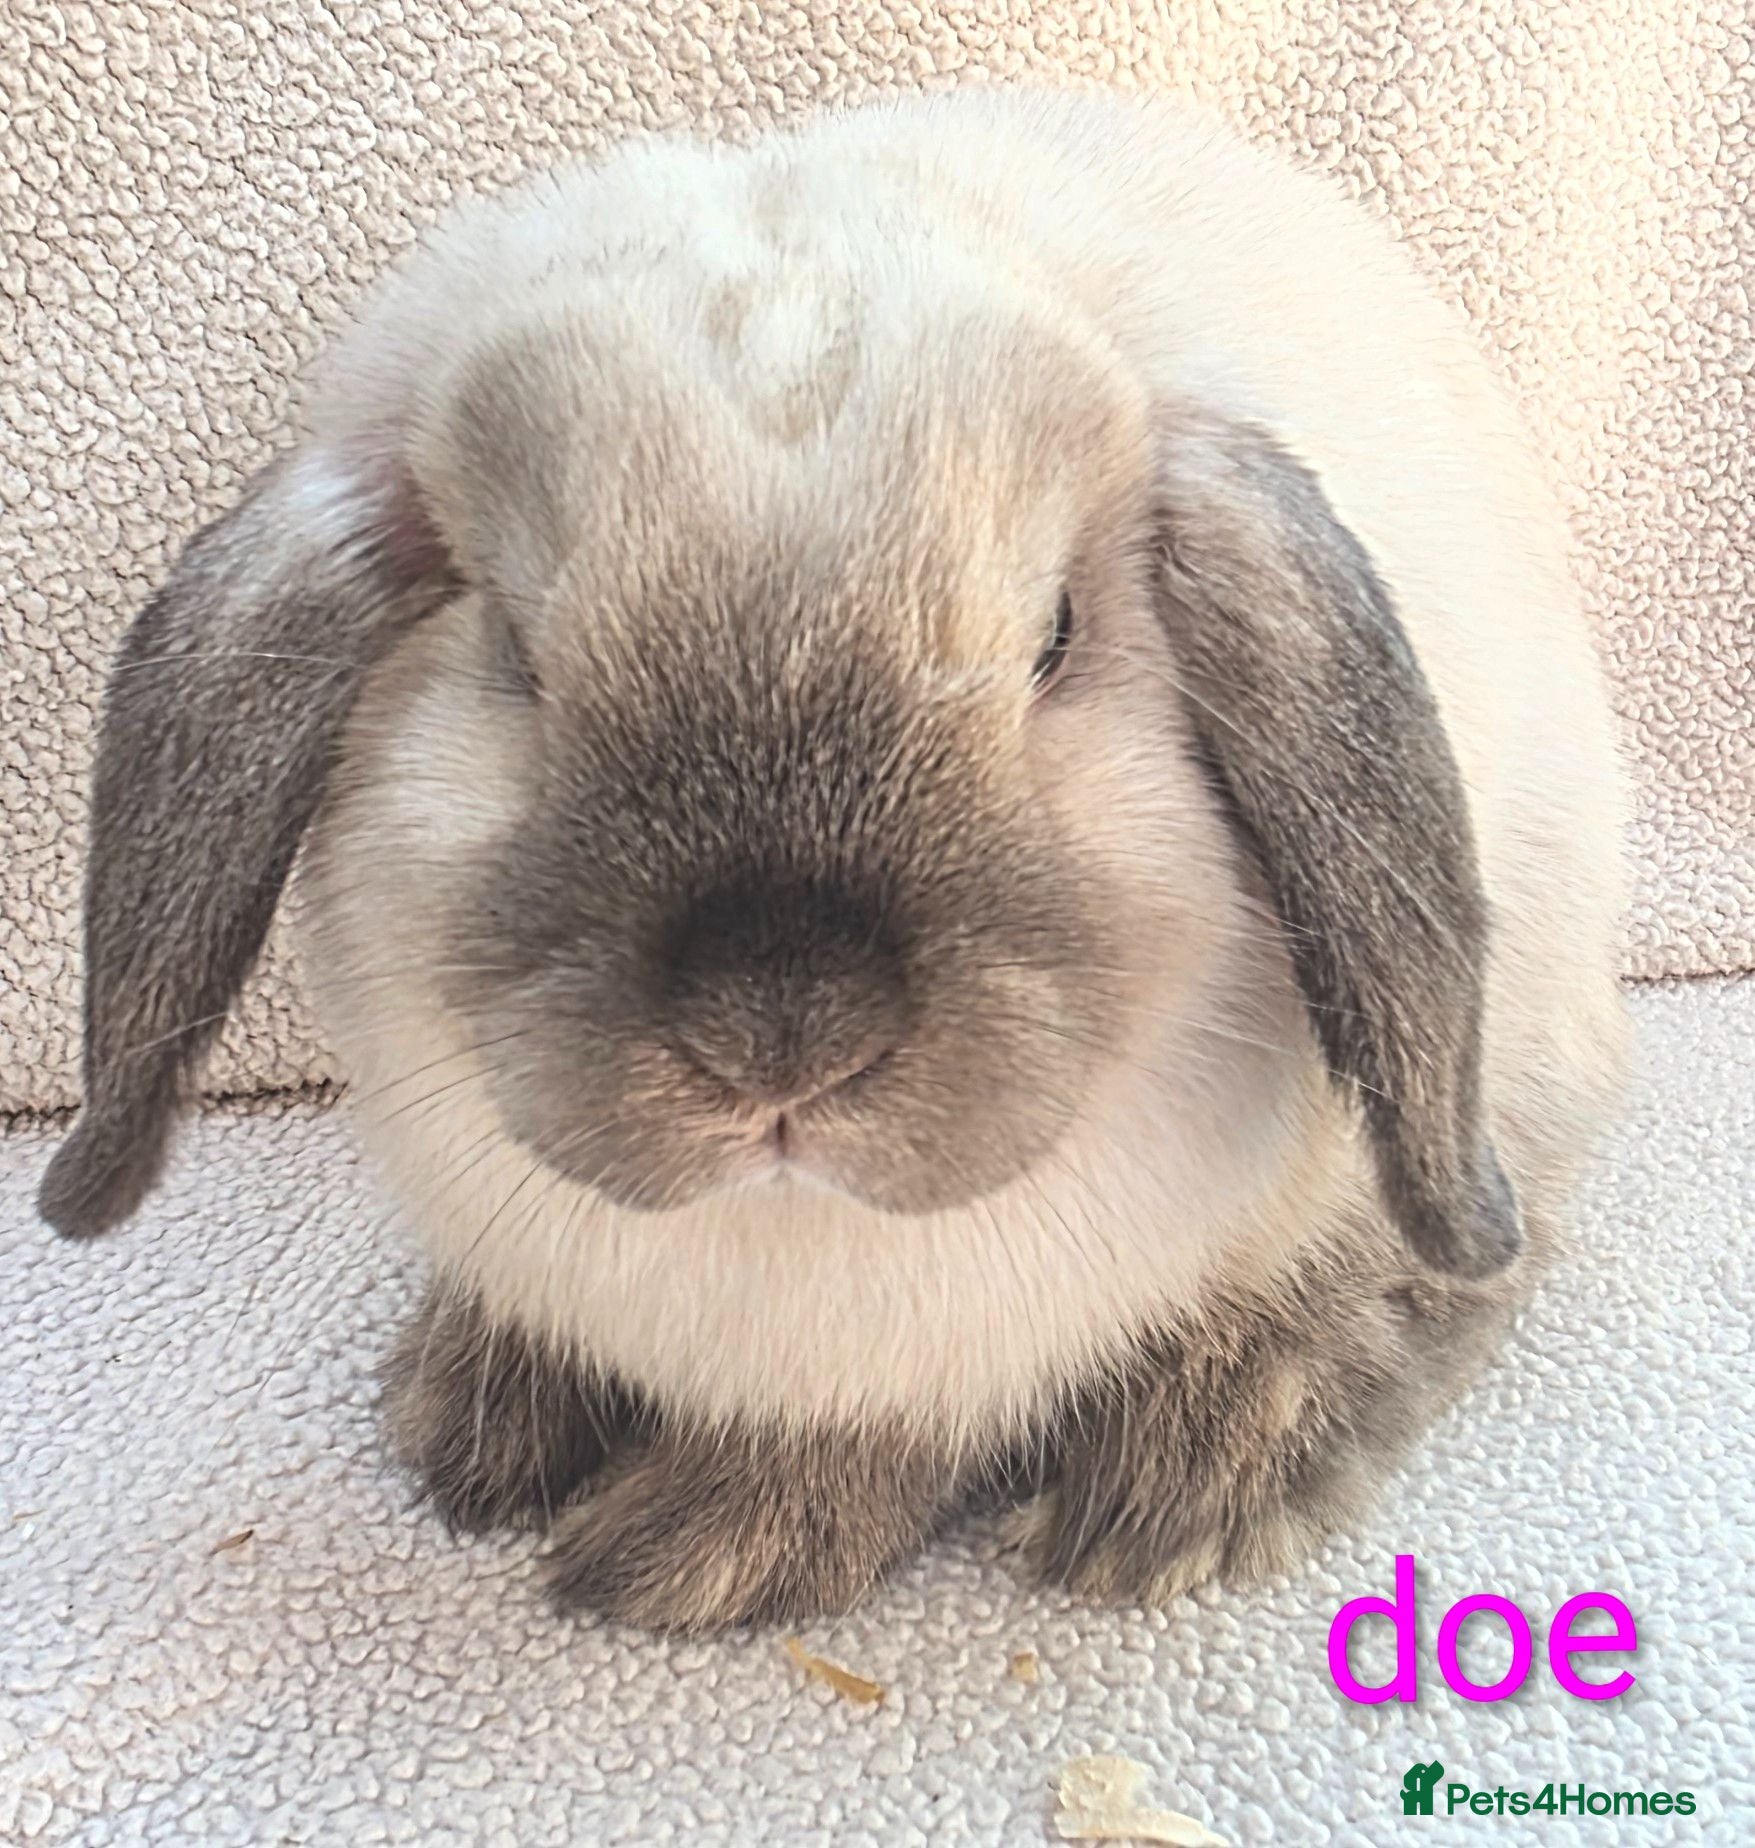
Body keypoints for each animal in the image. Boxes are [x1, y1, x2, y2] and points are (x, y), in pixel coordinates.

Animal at [39, 86, 1628, 1633]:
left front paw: (697, 1551)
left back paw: (1181, 1484)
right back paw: (474, 1403)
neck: (783, 1235)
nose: (781, 1032)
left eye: (1055, 638)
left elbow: (867, 1444)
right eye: (517, 654)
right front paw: (478, 1448)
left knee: (1429, 1272)